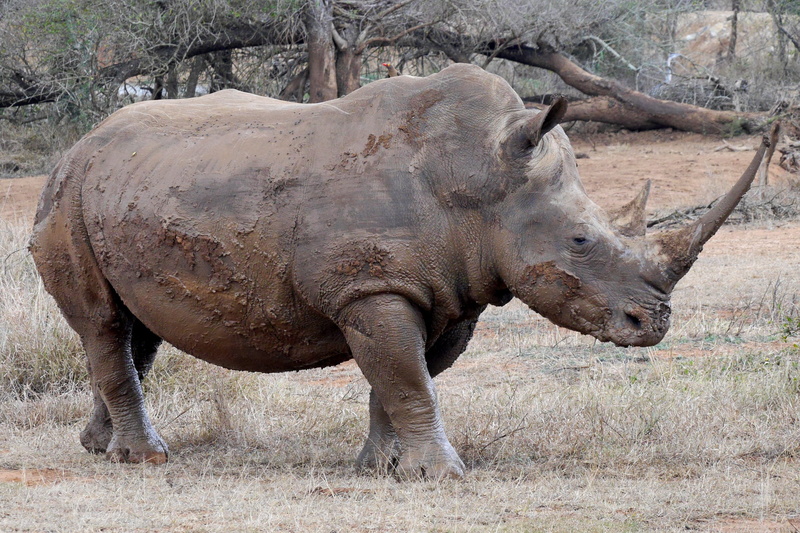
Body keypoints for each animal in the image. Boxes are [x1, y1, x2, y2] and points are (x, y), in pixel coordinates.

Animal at [30, 63, 770, 479]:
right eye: (582, 239)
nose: (655, 323)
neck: (482, 180)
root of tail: (77, 145)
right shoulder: (371, 287)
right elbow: (407, 377)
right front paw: (443, 475)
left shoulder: (450, 290)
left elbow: (399, 380)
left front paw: (383, 468)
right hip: (67, 197)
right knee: (103, 323)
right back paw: (146, 460)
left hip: (125, 188)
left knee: (136, 330)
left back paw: (99, 448)